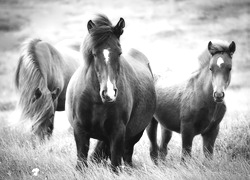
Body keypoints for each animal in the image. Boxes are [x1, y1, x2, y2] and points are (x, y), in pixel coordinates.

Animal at [65, 14, 155, 170]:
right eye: (94, 53)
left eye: (119, 53)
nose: (109, 93)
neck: (96, 101)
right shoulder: (80, 131)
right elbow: (81, 163)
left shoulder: (118, 133)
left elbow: (115, 165)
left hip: (134, 135)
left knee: (127, 156)